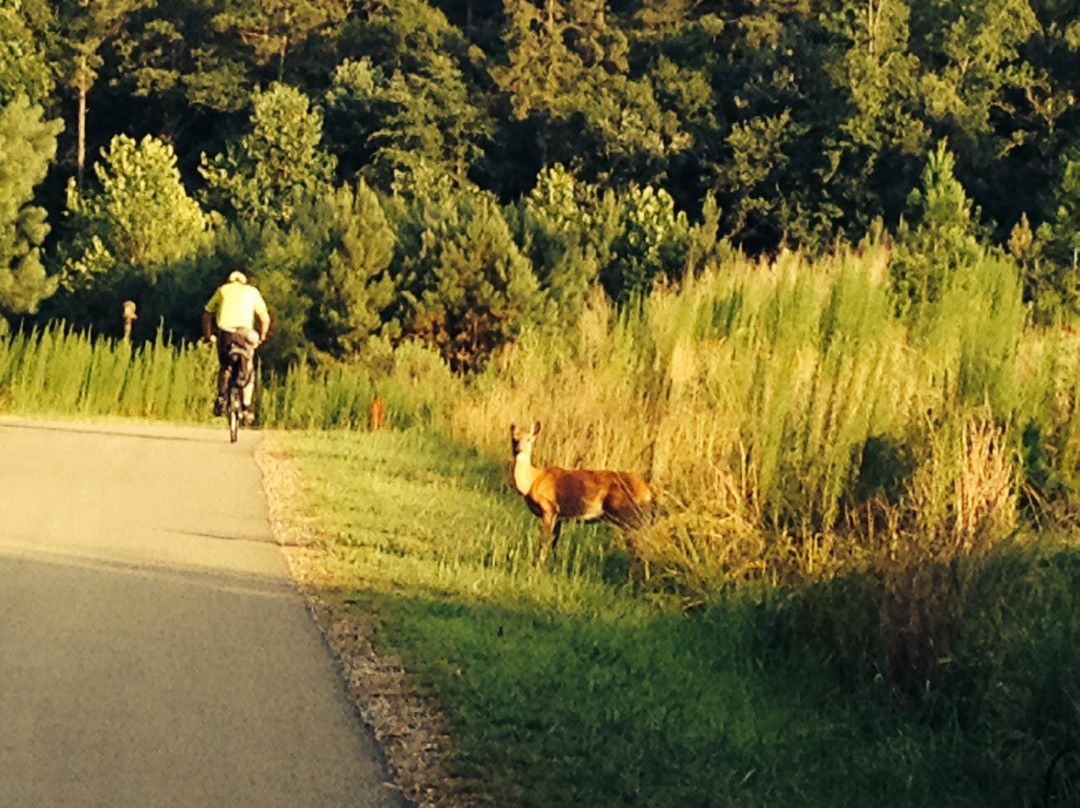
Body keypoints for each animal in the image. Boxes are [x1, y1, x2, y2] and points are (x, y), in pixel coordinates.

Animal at [509, 423, 652, 561]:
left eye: (529, 439)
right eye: (514, 439)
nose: (518, 450)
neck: (532, 480)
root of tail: (648, 489)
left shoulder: (549, 509)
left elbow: (543, 544)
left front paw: (539, 564)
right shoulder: (560, 517)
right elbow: (555, 544)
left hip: (630, 517)